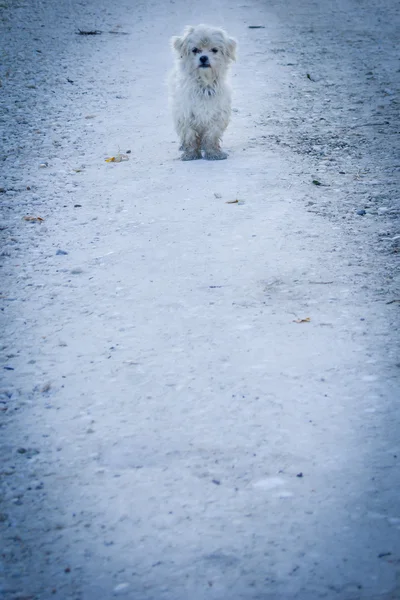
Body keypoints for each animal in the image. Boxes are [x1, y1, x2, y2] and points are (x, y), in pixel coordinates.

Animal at [170, 24, 238, 161]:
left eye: (214, 50)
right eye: (195, 50)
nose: (203, 58)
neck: (204, 86)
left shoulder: (217, 115)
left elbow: (211, 136)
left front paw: (213, 153)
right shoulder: (185, 115)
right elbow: (189, 135)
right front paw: (190, 154)